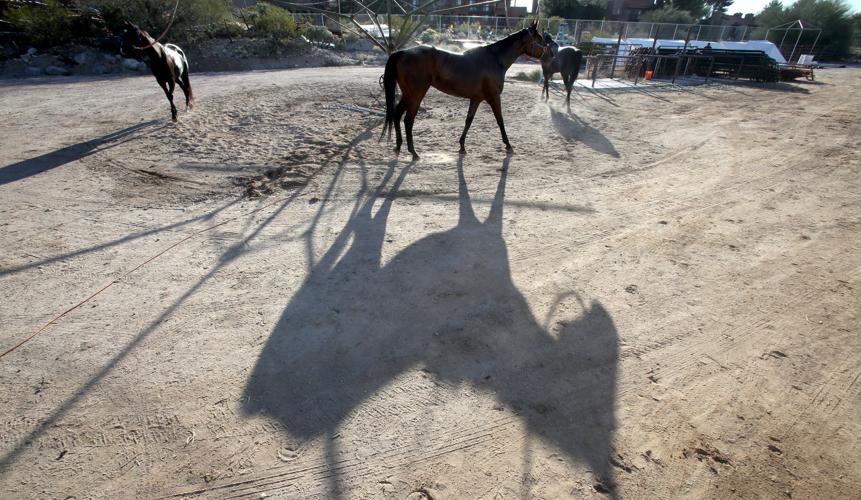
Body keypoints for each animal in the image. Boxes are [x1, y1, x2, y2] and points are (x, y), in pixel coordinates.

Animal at [381, 21, 546, 158]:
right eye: (540, 39)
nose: (548, 53)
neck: (495, 59)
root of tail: (401, 52)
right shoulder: (494, 97)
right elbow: (500, 120)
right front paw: (508, 145)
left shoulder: (476, 99)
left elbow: (469, 120)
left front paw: (462, 146)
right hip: (416, 95)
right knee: (408, 120)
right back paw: (413, 152)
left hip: (407, 94)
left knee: (396, 115)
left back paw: (398, 147)